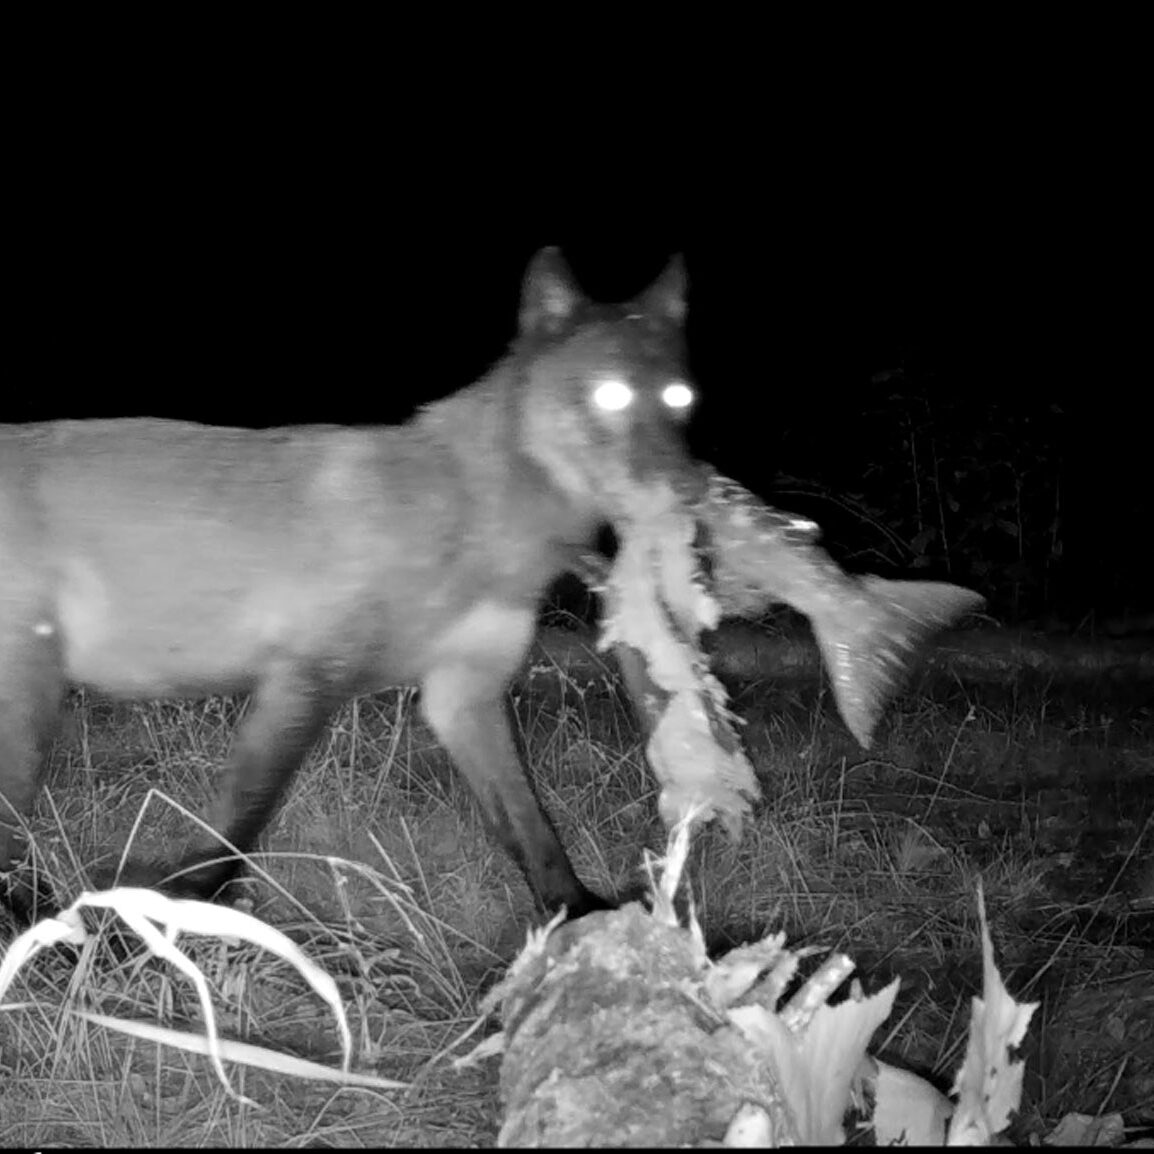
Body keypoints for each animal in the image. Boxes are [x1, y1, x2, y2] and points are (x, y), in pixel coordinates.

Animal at [0, 248, 705, 925]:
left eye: (678, 399)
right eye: (610, 395)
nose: (685, 493)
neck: (477, 523)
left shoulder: (462, 696)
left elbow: (535, 836)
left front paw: (580, 914)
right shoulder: (304, 681)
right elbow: (234, 830)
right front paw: (167, 916)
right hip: (32, 703)